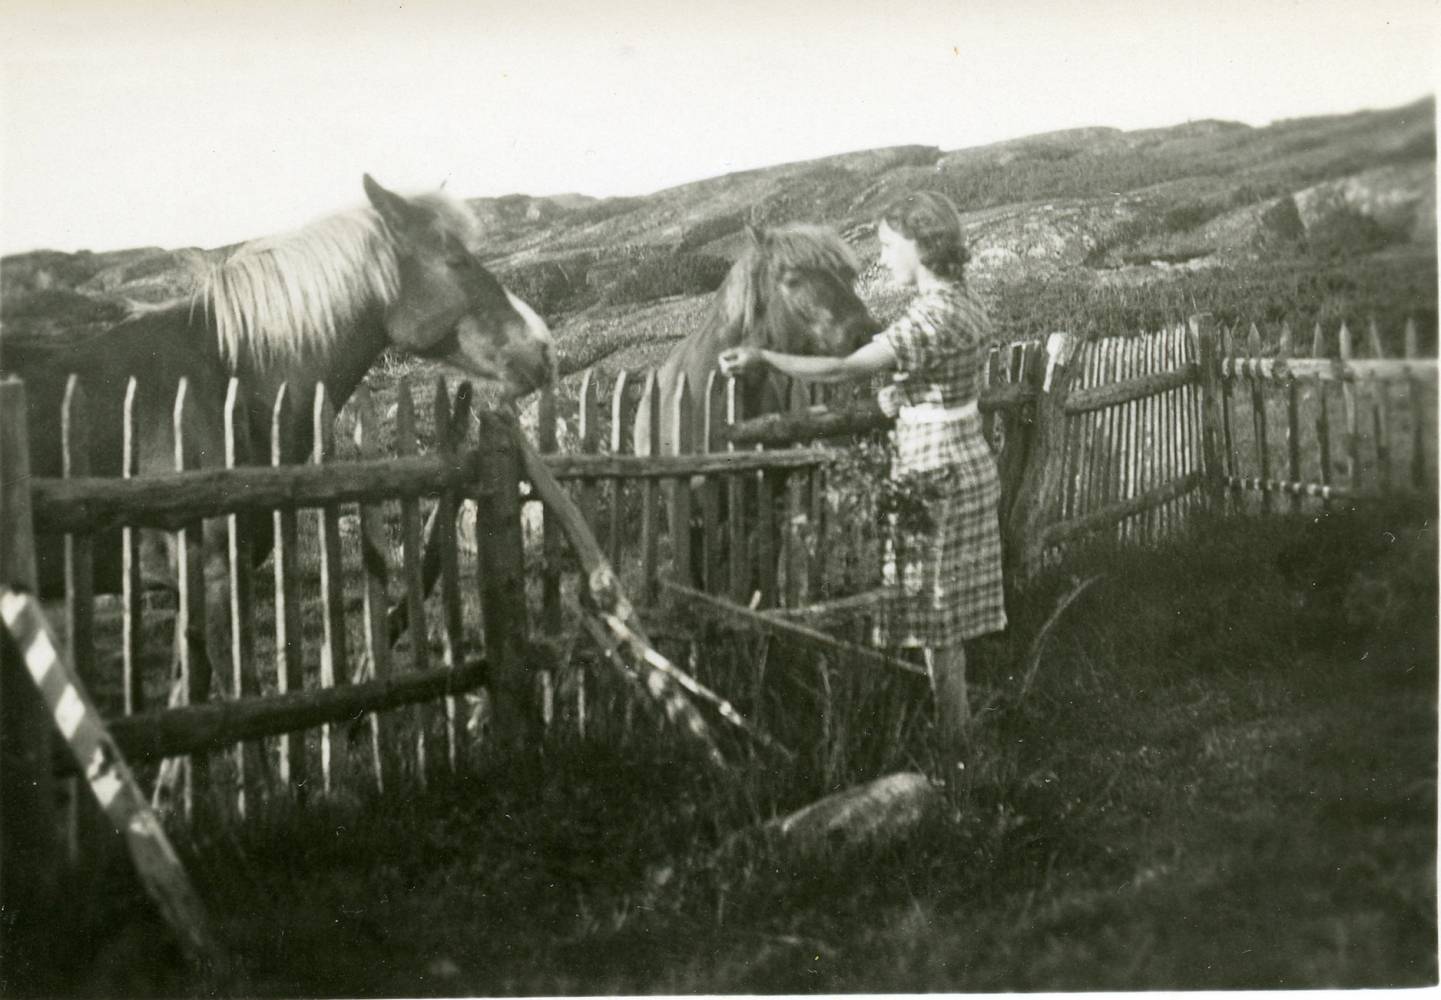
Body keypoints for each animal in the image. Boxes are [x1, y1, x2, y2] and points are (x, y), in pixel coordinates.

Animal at [7, 174, 554, 721]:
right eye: (455, 260)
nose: (542, 347)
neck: (225, 378)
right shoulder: (215, 581)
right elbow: (239, 697)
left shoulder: (191, 595)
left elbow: (189, 698)